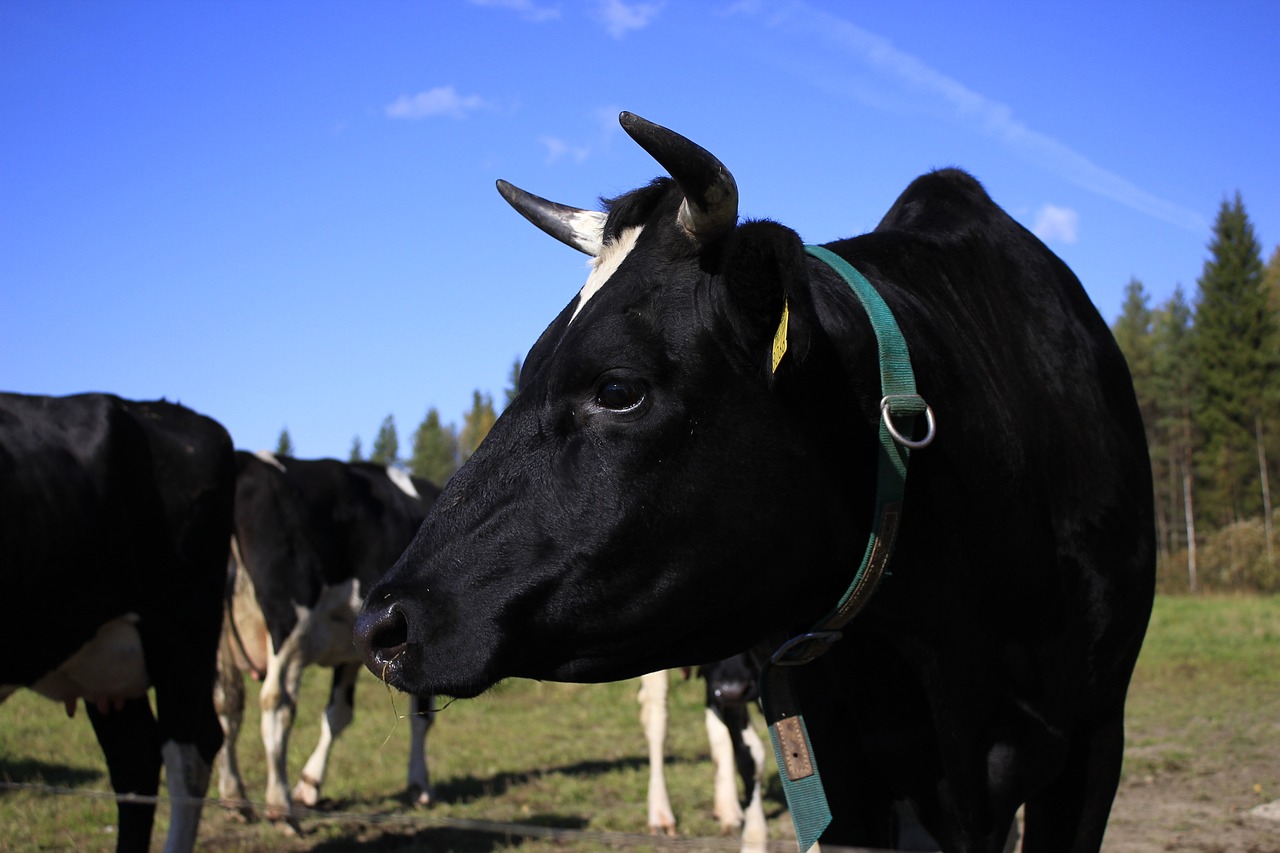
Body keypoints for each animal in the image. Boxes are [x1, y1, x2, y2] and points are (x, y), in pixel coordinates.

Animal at [213, 448, 440, 824]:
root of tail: (246, 460)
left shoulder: (351, 651)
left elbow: (338, 714)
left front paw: (309, 786)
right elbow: (422, 717)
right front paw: (420, 784)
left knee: (226, 704)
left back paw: (235, 797)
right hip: (289, 626)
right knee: (276, 703)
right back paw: (279, 803)